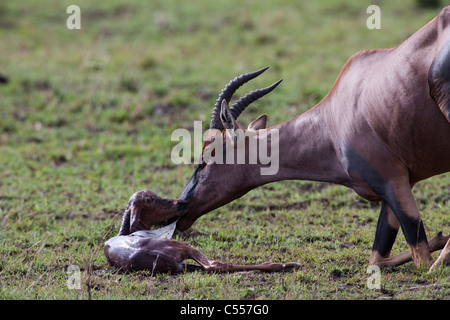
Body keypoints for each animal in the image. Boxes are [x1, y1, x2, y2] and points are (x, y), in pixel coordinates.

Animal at [122, 6, 450, 270]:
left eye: (205, 158)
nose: (181, 209)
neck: (335, 116)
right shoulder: (395, 187)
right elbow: (378, 258)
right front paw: (440, 236)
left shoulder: (393, 182)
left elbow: (421, 258)